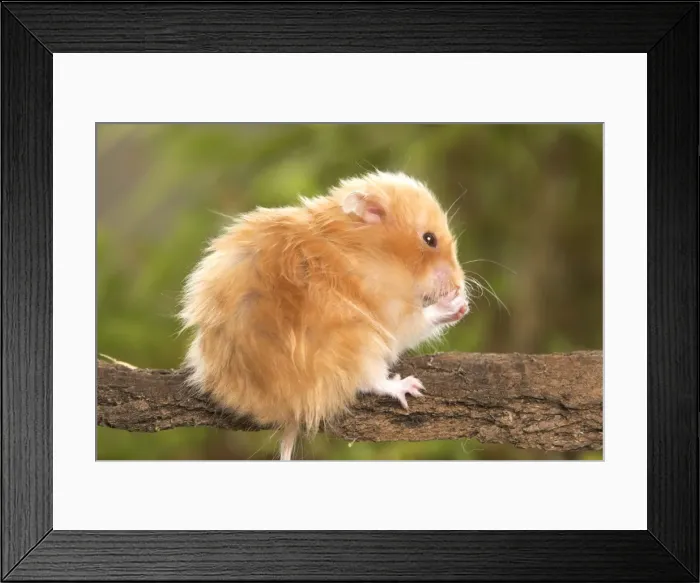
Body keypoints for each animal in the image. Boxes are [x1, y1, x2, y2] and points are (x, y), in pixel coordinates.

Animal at [178, 170, 469, 460]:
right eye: (429, 239)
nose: (459, 284)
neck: (369, 251)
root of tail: (289, 408)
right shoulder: (392, 310)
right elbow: (420, 321)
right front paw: (459, 303)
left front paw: (463, 302)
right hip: (361, 345)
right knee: (370, 381)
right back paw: (409, 386)